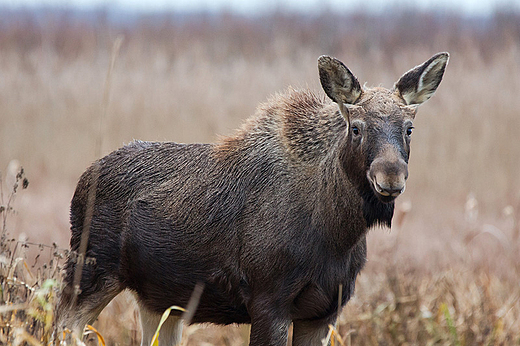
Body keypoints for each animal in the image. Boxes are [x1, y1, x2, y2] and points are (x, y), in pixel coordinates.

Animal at [55, 52, 446, 344]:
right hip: (89, 271)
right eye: (356, 127)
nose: (390, 176)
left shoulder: (324, 312)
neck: (338, 233)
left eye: (409, 128)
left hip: (159, 301)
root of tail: (83, 180)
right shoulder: (269, 301)